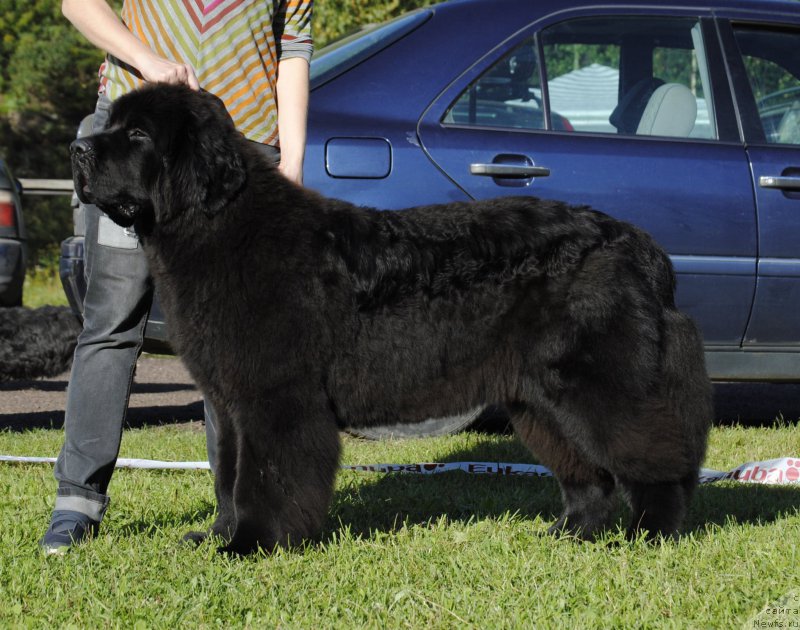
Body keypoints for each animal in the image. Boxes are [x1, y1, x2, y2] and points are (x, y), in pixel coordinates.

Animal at [72, 86, 712, 556]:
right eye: (113, 125)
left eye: (137, 135)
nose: (79, 151)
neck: (221, 226)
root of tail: (631, 240)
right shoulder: (231, 402)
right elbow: (228, 475)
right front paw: (217, 537)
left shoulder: (276, 398)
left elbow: (262, 478)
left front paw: (251, 544)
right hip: (539, 398)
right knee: (587, 474)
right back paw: (570, 534)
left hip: (596, 384)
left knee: (653, 456)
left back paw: (650, 534)